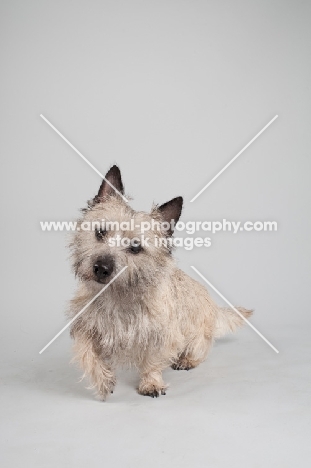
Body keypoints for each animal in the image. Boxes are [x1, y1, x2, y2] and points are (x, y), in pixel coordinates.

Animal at [68, 165, 254, 398]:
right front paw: (103, 380)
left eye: (135, 247)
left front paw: (151, 383)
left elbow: (153, 360)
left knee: (201, 350)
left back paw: (187, 360)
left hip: (198, 337)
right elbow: (87, 352)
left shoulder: (164, 335)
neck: (119, 295)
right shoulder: (84, 326)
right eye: (100, 232)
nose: (101, 268)